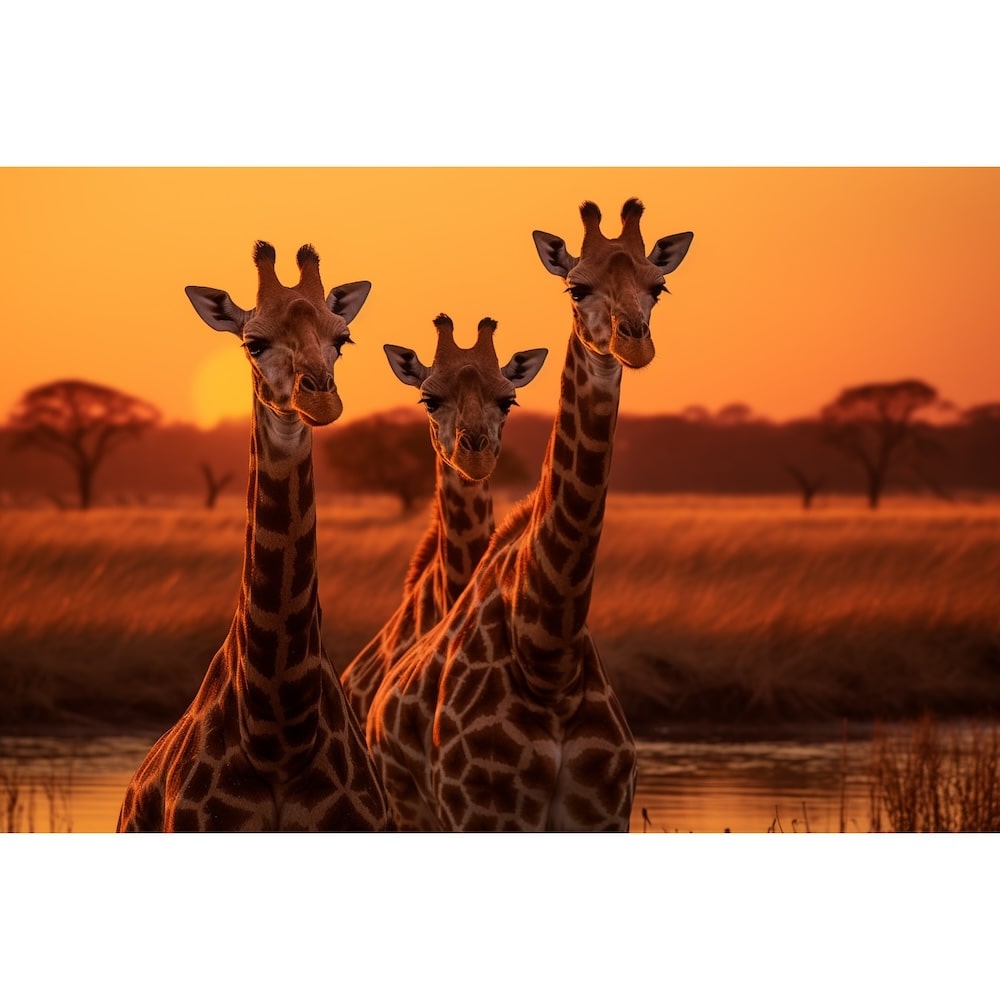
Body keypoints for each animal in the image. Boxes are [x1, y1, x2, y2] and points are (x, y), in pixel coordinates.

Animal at [366, 199, 693, 831]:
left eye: (658, 287)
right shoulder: (483, 812)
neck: (547, 650)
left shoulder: (603, 813)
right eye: (576, 287)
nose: (633, 344)